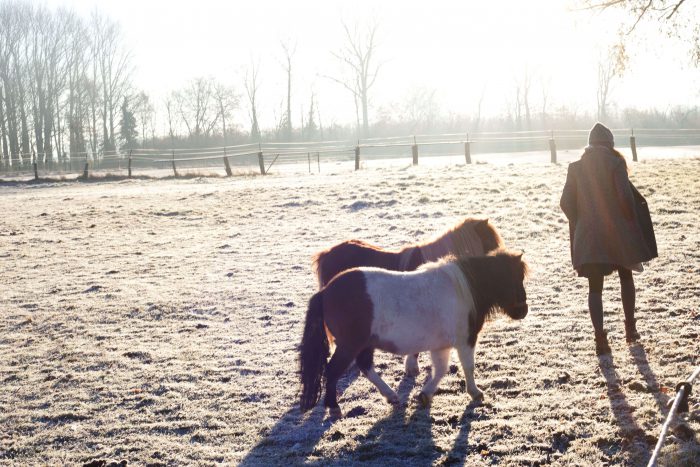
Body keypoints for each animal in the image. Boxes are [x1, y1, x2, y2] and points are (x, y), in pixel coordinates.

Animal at [298, 250, 528, 418]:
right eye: (515, 278)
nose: (523, 310)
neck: (463, 290)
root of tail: (325, 292)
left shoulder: (441, 345)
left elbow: (440, 371)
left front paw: (425, 395)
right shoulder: (465, 340)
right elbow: (468, 368)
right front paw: (475, 393)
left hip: (362, 345)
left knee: (365, 366)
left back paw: (391, 396)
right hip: (349, 345)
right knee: (332, 371)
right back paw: (334, 407)